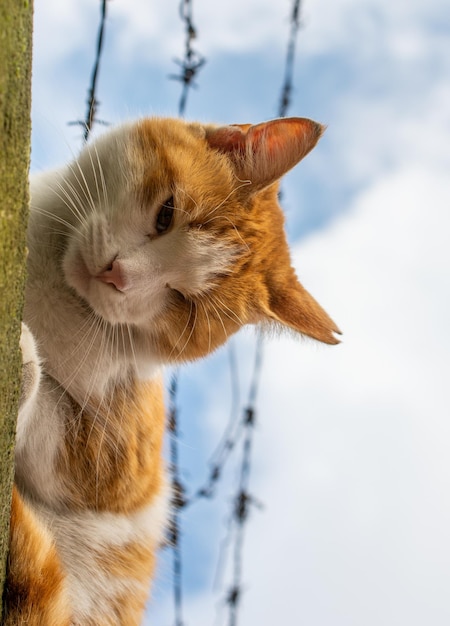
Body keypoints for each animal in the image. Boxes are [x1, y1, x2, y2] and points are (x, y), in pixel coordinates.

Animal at [3, 116, 340, 624]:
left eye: (184, 302)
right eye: (166, 214)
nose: (116, 276)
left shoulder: (119, 468)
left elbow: (56, 427)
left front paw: (27, 363)